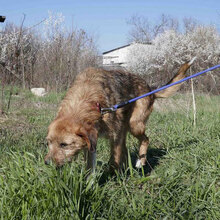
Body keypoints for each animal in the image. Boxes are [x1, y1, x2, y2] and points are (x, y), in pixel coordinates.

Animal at [44, 58, 194, 172]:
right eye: (48, 142)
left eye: (64, 144)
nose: (47, 163)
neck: (85, 100)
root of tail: (150, 90)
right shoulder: (91, 143)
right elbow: (90, 168)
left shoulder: (115, 136)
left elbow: (114, 159)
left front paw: (111, 176)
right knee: (126, 149)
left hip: (135, 125)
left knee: (145, 140)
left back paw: (140, 161)